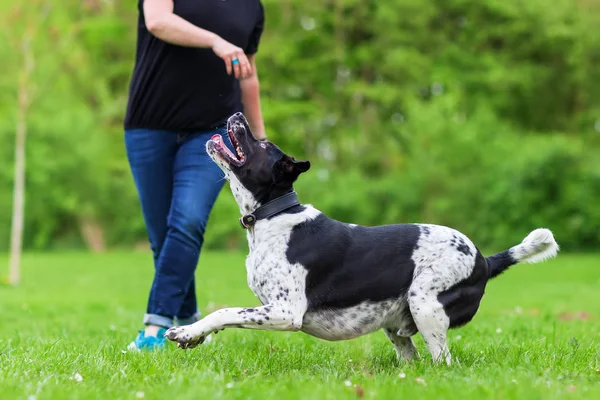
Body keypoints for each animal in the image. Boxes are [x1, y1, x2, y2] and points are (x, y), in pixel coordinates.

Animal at [164, 112, 556, 366]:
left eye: (262, 143)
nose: (237, 113)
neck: (273, 216)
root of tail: (484, 260)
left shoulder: (285, 311)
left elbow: (224, 311)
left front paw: (186, 330)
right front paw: (192, 336)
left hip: (425, 304)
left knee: (442, 363)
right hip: (399, 324)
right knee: (413, 360)